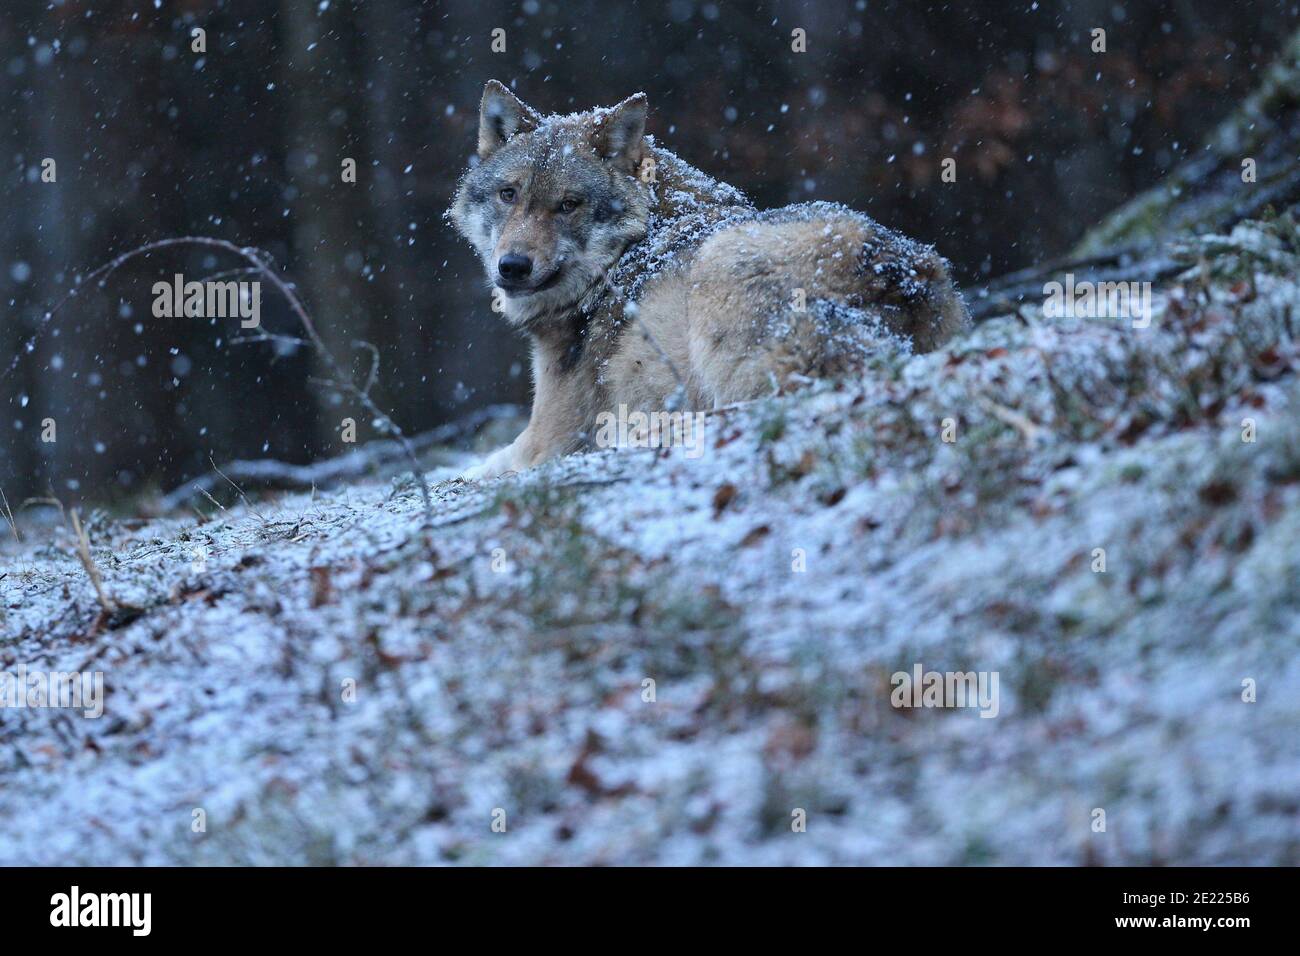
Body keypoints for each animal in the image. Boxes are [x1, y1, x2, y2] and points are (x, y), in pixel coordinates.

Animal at [450, 80, 969, 479]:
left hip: (719, 266)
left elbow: (476, 471)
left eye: (569, 205)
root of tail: (904, 279)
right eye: (508, 194)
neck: (627, 250)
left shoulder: (547, 436)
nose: (512, 266)